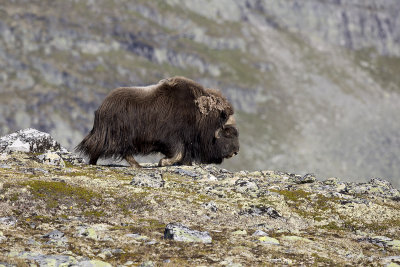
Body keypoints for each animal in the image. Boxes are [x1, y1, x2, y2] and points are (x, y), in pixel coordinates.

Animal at [76, 76, 239, 168]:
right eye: (228, 132)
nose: (236, 152)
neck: (199, 116)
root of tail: (102, 107)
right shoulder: (172, 138)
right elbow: (178, 153)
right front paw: (163, 162)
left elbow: (183, 155)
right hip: (119, 136)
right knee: (113, 149)